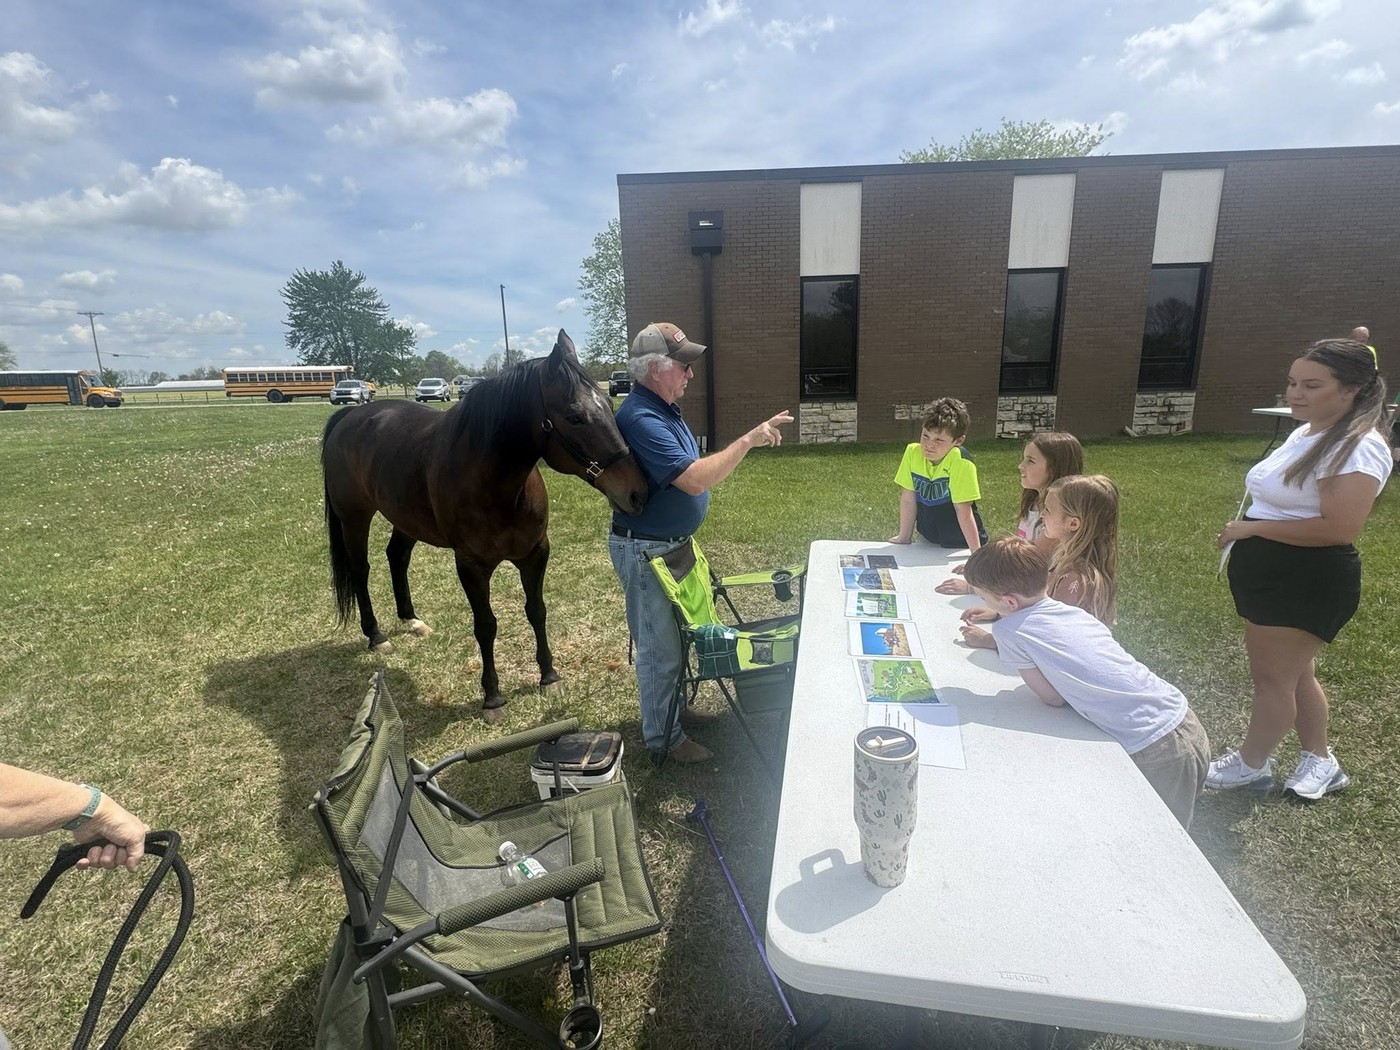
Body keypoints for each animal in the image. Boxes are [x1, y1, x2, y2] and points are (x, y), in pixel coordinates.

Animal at [320, 330, 647, 713]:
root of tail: (351, 416)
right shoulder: (471, 566)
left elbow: (537, 611)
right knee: (361, 569)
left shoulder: (535, 554)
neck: (495, 483)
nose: (638, 492)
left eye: (609, 405)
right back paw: (375, 635)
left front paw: (549, 676)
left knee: (397, 557)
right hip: (355, 517)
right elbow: (486, 625)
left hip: (405, 519)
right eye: (575, 417)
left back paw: (411, 620)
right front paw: (492, 695)